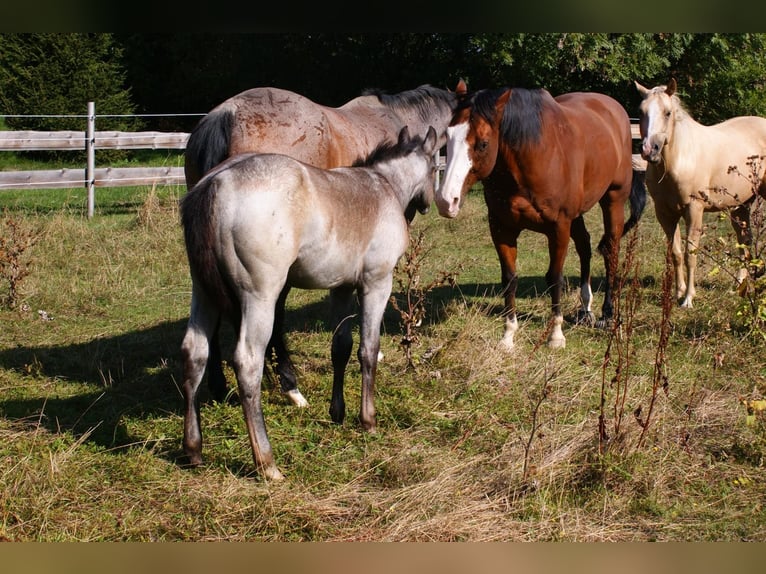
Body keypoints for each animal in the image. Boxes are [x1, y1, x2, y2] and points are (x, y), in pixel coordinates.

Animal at [179, 126, 438, 480]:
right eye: (437, 166)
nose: (431, 203)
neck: (382, 187)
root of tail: (215, 184)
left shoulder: (341, 289)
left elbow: (340, 348)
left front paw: (337, 412)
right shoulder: (376, 283)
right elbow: (368, 350)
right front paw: (368, 420)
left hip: (202, 293)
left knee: (195, 353)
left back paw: (194, 450)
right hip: (260, 297)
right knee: (248, 362)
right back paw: (267, 463)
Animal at [435, 86, 647, 350]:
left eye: (483, 144)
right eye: (448, 137)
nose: (445, 200)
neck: (533, 157)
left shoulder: (558, 227)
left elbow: (555, 277)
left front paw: (555, 336)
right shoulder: (501, 229)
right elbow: (509, 278)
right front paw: (508, 336)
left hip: (613, 200)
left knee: (611, 249)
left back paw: (607, 314)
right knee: (585, 246)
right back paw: (586, 308)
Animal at [635, 78, 766, 308]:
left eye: (668, 113)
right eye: (641, 112)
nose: (650, 149)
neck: (680, 159)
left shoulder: (694, 209)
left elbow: (690, 254)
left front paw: (688, 298)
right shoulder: (665, 213)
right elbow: (676, 253)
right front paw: (678, 293)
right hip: (739, 207)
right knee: (745, 240)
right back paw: (738, 286)